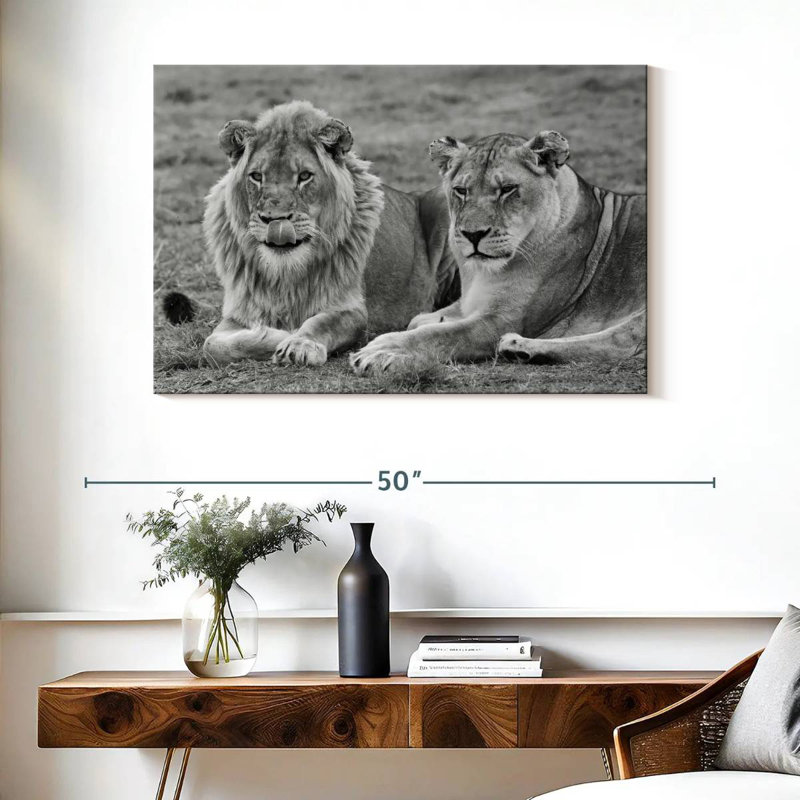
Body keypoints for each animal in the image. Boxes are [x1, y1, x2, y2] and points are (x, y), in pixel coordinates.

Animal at [201, 101, 457, 367]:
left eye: (304, 176)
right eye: (257, 176)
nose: (275, 220)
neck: (285, 272)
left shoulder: (352, 310)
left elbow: (320, 322)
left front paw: (298, 342)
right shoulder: (239, 312)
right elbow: (212, 346)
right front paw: (274, 334)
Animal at [350, 129, 645, 375]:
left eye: (507, 189)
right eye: (461, 190)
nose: (473, 235)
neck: (481, 273)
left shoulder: (502, 320)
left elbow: (438, 335)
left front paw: (383, 350)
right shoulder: (471, 302)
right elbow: (418, 321)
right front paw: (435, 319)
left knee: (621, 341)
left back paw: (517, 346)